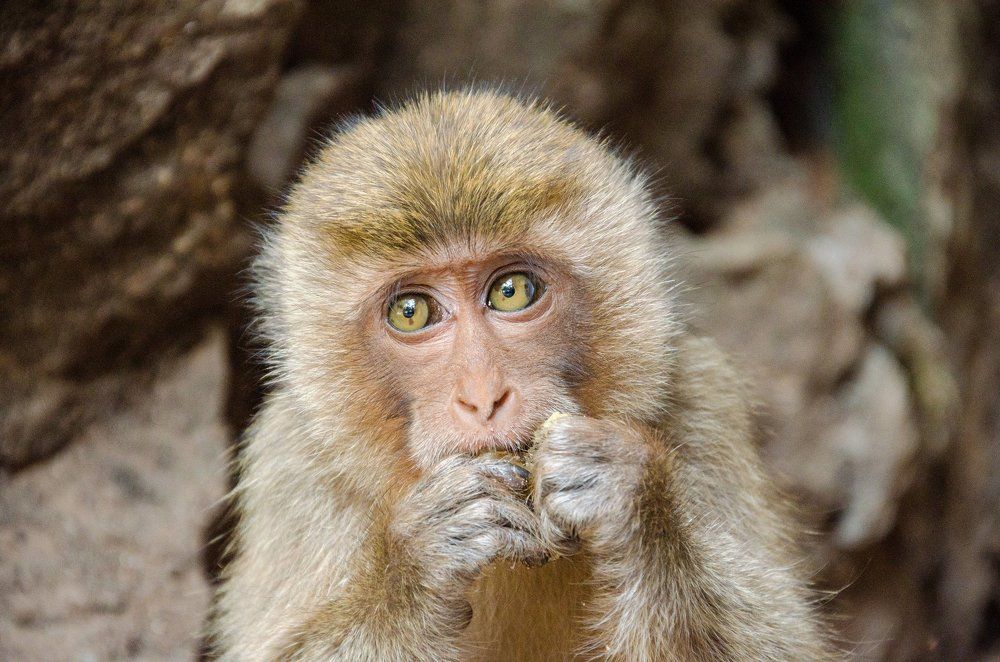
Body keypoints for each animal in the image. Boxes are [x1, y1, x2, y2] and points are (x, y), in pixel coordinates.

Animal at [209, 89, 837, 661]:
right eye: (410, 311)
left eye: (511, 291)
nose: (483, 397)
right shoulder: (291, 465)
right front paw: (414, 569)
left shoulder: (703, 401)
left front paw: (635, 503)